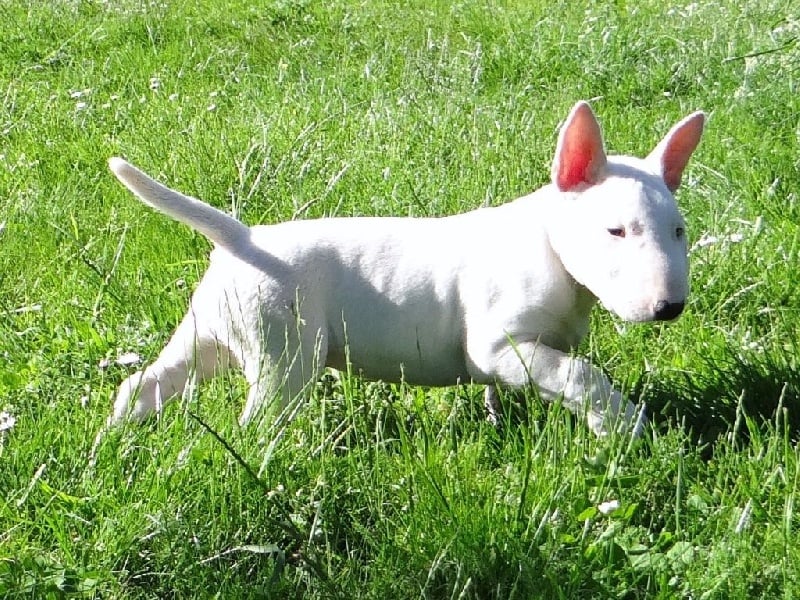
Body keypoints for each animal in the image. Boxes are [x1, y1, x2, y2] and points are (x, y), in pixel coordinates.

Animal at [109, 99, 704, 436]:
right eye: (616, 231)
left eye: (679, 230)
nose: (668, 308)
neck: (549, 248)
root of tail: (244, 238)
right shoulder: (498, 344)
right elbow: (582, 375)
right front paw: (623, 427)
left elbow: (525, 384)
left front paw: (501, 421)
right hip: (284, 353)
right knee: (258, 420)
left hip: (210, 330)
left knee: (146, 381)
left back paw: (113, 440)